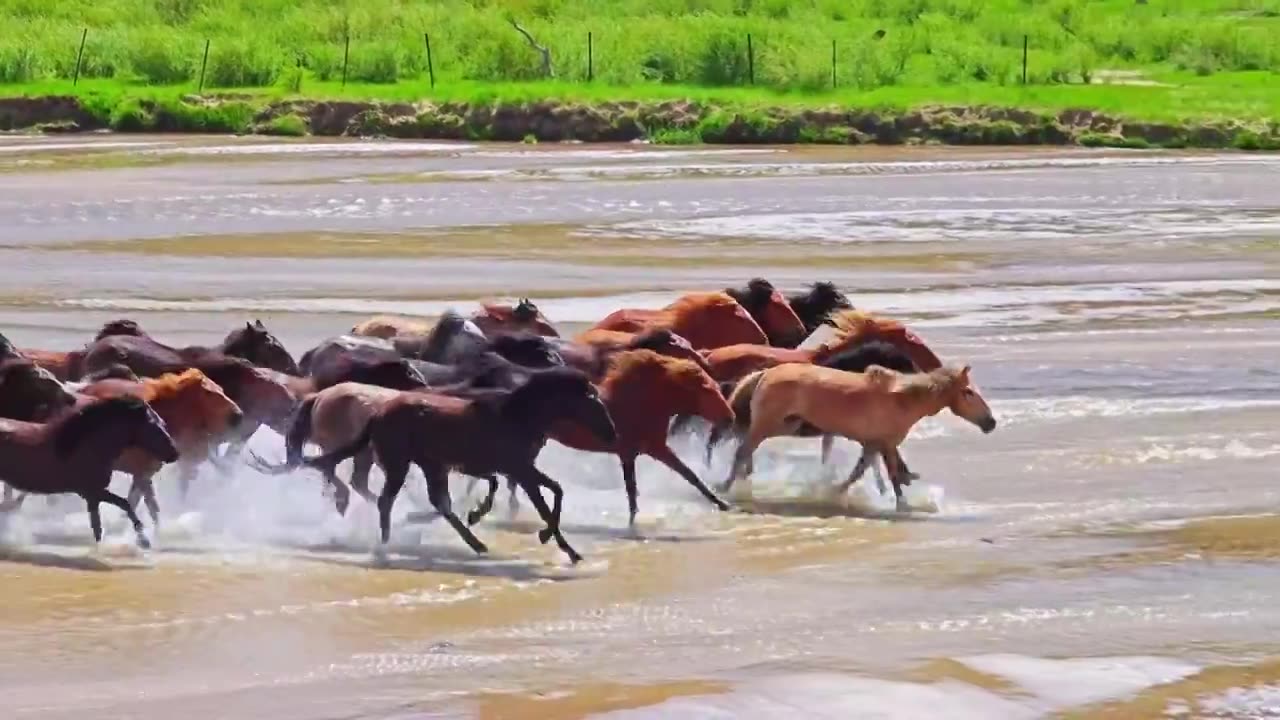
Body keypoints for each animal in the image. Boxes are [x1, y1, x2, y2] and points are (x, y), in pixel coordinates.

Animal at [0, 394, 177, 545]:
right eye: (154, 426)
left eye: (163, 423)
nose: (175, 454)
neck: (87, 445)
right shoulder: (92, 492)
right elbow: (124, 504)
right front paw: (144, 541)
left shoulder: (92, 496)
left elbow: (98, 526)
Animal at [727, 361, 993, 507]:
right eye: (968, 392)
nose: (990, 423)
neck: (902, 400)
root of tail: (765, 373)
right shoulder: (885, 444)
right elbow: (890, 476)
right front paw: (902, 505)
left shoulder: (874, 444)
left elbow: (863, 472)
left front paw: (833, 493)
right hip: (768, 424)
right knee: (742, 451)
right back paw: (726, 488)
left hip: (785, 425)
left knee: (745, 449)